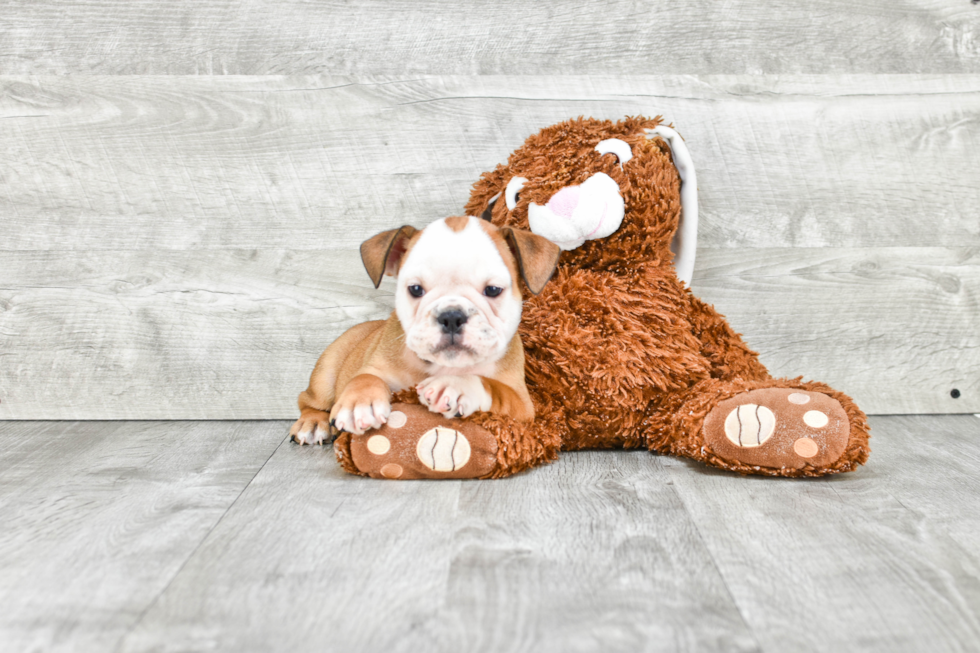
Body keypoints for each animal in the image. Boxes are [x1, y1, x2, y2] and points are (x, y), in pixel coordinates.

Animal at [290, 214, 560, 444]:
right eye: (416, 289)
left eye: (493, 290)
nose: (451, 316)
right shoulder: (375, 367)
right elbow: (364, 378)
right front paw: (359, 403)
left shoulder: (521, 404)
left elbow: (493, 387)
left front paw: (456, 385)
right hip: (327, 371)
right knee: (307, 399)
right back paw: (312, 423)